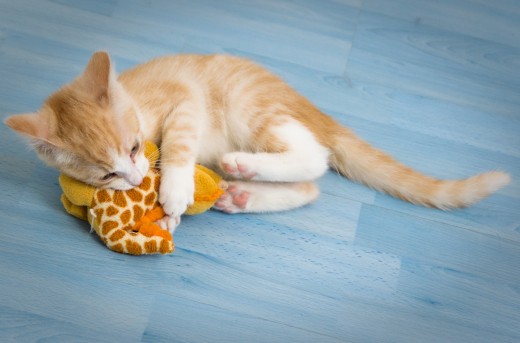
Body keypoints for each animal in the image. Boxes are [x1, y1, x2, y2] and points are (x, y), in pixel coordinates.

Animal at [5, 51, 512, 232]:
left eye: (132, 148)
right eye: (109, 174)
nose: (133, 178)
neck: (137, 100)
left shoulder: (184, 95)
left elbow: (179, 142)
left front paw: (174, 190)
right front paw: (168, 216)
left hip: (249, 105)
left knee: (316, 157)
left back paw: (244, 167)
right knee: (310, 187)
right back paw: (242, 195)